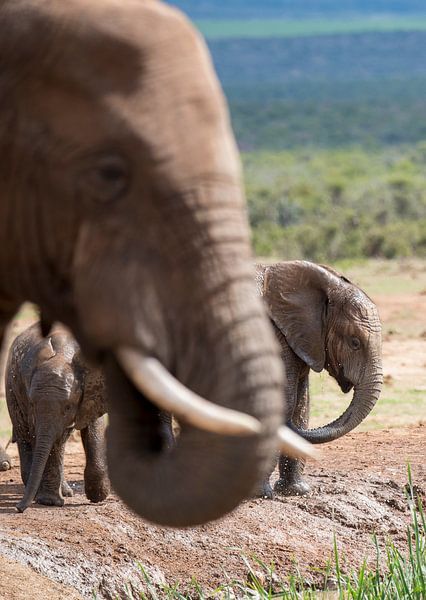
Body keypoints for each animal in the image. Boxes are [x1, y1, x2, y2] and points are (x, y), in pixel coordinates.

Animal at [6, 322, 110, 512]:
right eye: (32, 404)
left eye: (68, 407)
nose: (18, 508)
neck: (61, 356)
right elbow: (48, 440)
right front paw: (49, 502)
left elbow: (93, 428)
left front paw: (98, 496)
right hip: (11, 388)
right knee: (25, 433)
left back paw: (65, 493)